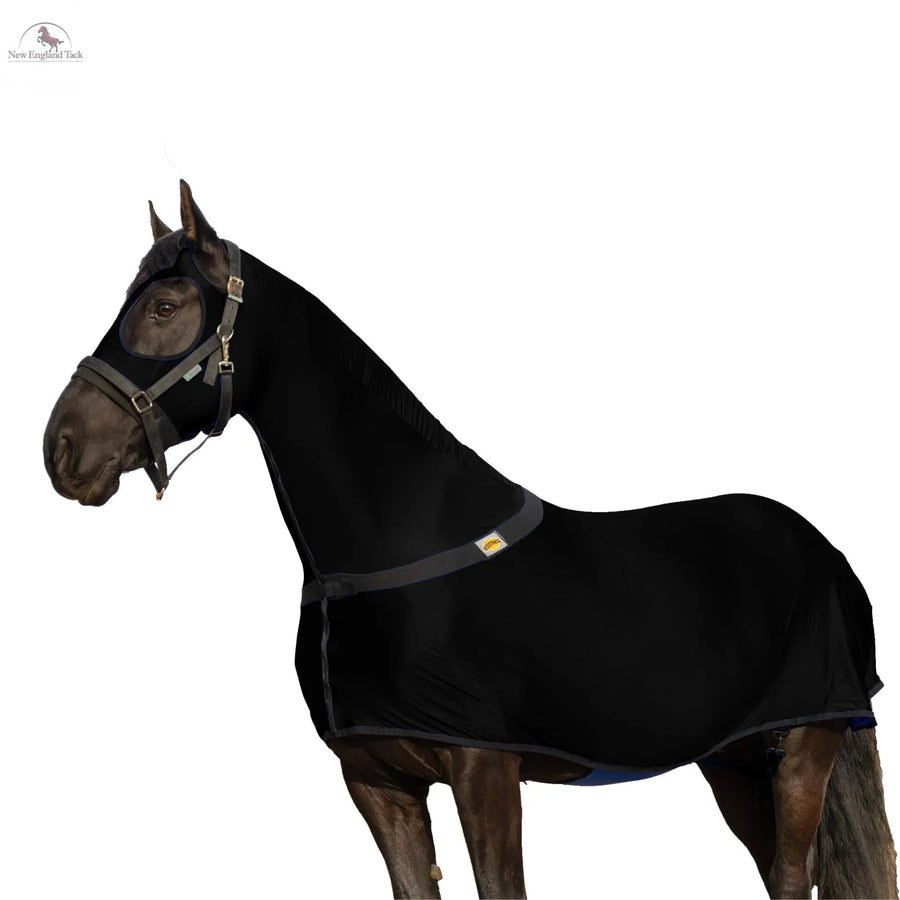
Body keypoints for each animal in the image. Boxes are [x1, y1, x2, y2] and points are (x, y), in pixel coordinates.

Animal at [43, 180, 897, 899]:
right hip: (733, 760)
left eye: (166, 306)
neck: (394, 546)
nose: (64, 450)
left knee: (792, 876)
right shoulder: (376, 782)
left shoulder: (486, 771)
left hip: (807, 743)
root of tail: (821, 546)